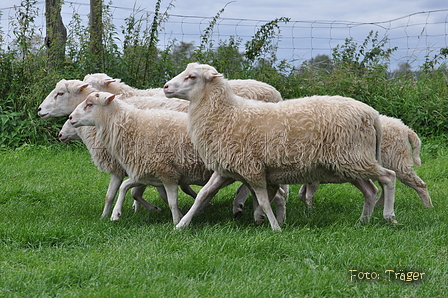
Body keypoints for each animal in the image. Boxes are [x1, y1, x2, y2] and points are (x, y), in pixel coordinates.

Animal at [67, 91, 218, 224]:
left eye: (89, 104)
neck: (134, 128)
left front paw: (176, 221)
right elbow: (122, 188)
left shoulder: (168, 173)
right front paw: (113, 214)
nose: (70, 118)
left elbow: (172, 203)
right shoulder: (145, 173)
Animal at [164, 62, 396, 230]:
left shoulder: (252, 168)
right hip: (349, 162)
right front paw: (181, 224)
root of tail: (372, 114)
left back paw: (388, 216)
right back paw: (363, 221)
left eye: (192, 76)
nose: (166, 87)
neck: (225, 113)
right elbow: (203, 195)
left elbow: (264, 200)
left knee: (388, 177)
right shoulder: (227, 168)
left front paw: (274, 227)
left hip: (354, 157)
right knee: (371, 190)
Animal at [300, 115, 432, 208]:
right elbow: (302, 193)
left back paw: (427, 207)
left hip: (398, 162)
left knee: (419, 184)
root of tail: (405, 128)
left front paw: (310, 210)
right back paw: (378, 206)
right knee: (386, 186)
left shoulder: (314, 178)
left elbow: (308, 195)